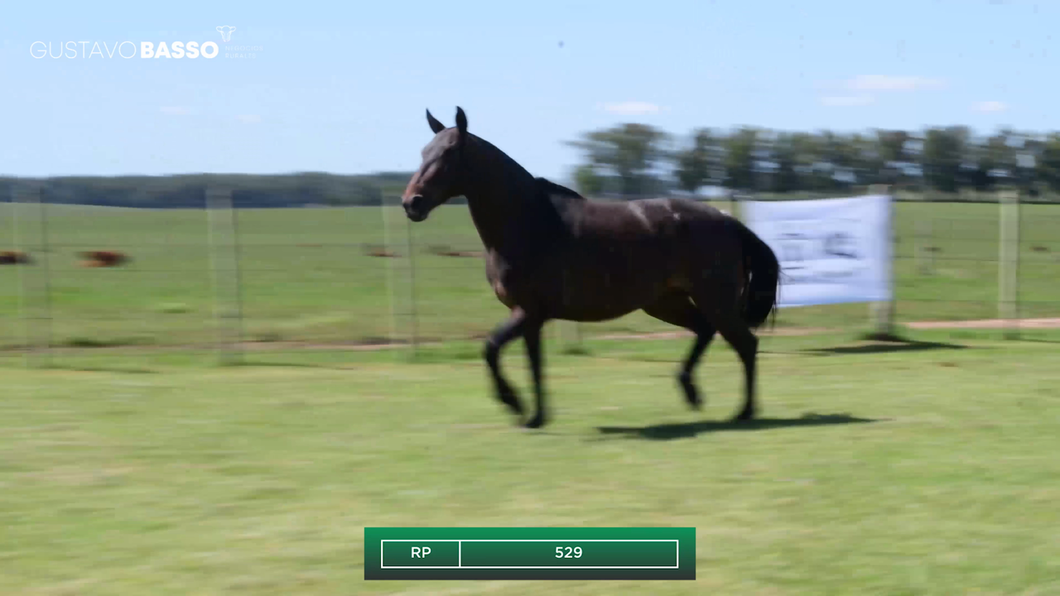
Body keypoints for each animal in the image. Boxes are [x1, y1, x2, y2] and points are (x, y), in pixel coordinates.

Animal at [398, 107, 780, 426]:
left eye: (448, 153)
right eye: (423, 153)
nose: (411, 203)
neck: (529, 223)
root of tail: (727, 221)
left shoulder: (527, 311)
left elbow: (490, 348)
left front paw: (514, 404)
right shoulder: (531, 317)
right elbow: (534, 364)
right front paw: (536, 416)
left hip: (715, 300)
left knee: (745, 344)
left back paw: (744, 411)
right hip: (665, 302)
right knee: (705, 331)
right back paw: (692, 392)